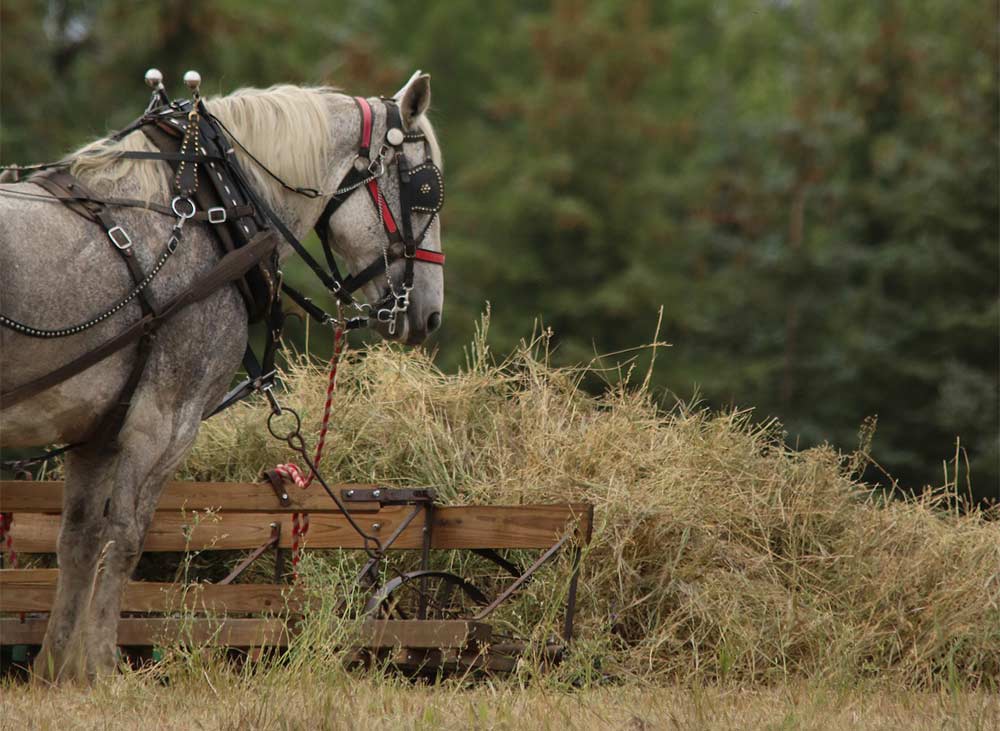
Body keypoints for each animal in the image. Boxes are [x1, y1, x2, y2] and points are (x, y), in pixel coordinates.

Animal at [0, 71, 446, 684]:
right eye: (427, 189)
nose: (431, 313)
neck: (209, 212)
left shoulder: (97, 431)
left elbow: (80, 540)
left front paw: (57, 672)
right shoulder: (165, 419)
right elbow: (126, 537)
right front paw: (104, 669)